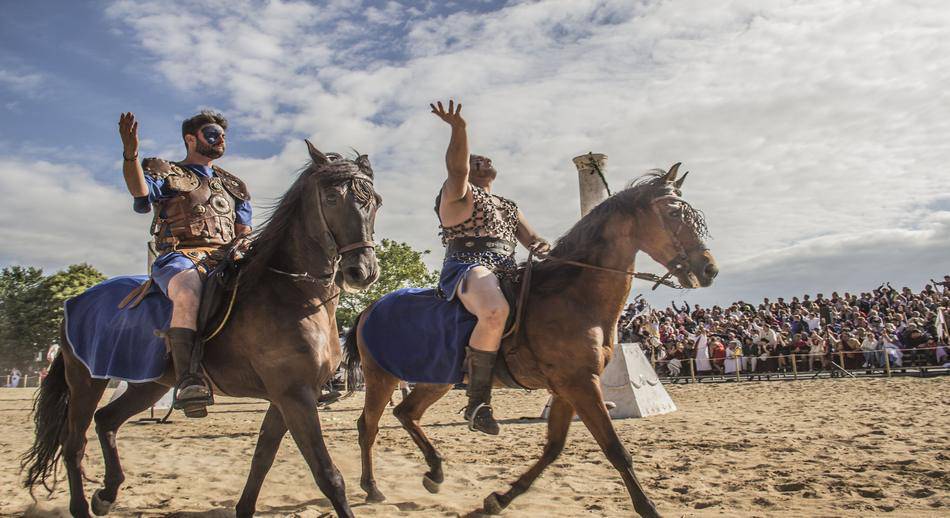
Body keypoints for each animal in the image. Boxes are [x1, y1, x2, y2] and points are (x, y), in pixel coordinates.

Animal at [20, 142, 382, 518]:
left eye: (375, 201)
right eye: (331, 198)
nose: (362, 271)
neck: (291, 290)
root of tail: (76, 301)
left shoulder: (290, 395)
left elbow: (262, 457)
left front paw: (244, 508)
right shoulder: (294, 395)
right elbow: (327, 474)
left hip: (149, 384)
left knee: (106, 421)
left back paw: (107, 494)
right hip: (86, 381)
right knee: (73, 443)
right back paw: (81, 504)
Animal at [346, 165, 716, 516]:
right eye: (673, 213)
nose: (709, 269)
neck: (573, 295)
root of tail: (368, 309)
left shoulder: (568, 388)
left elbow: (553, 448)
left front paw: (498, 500)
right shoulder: (580, 384)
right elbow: (615, 449)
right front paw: (648, 507)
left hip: (436, 379)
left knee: (406, 414)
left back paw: (434, 472)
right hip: (381, 377)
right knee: (368, 426)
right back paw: (372, 488)